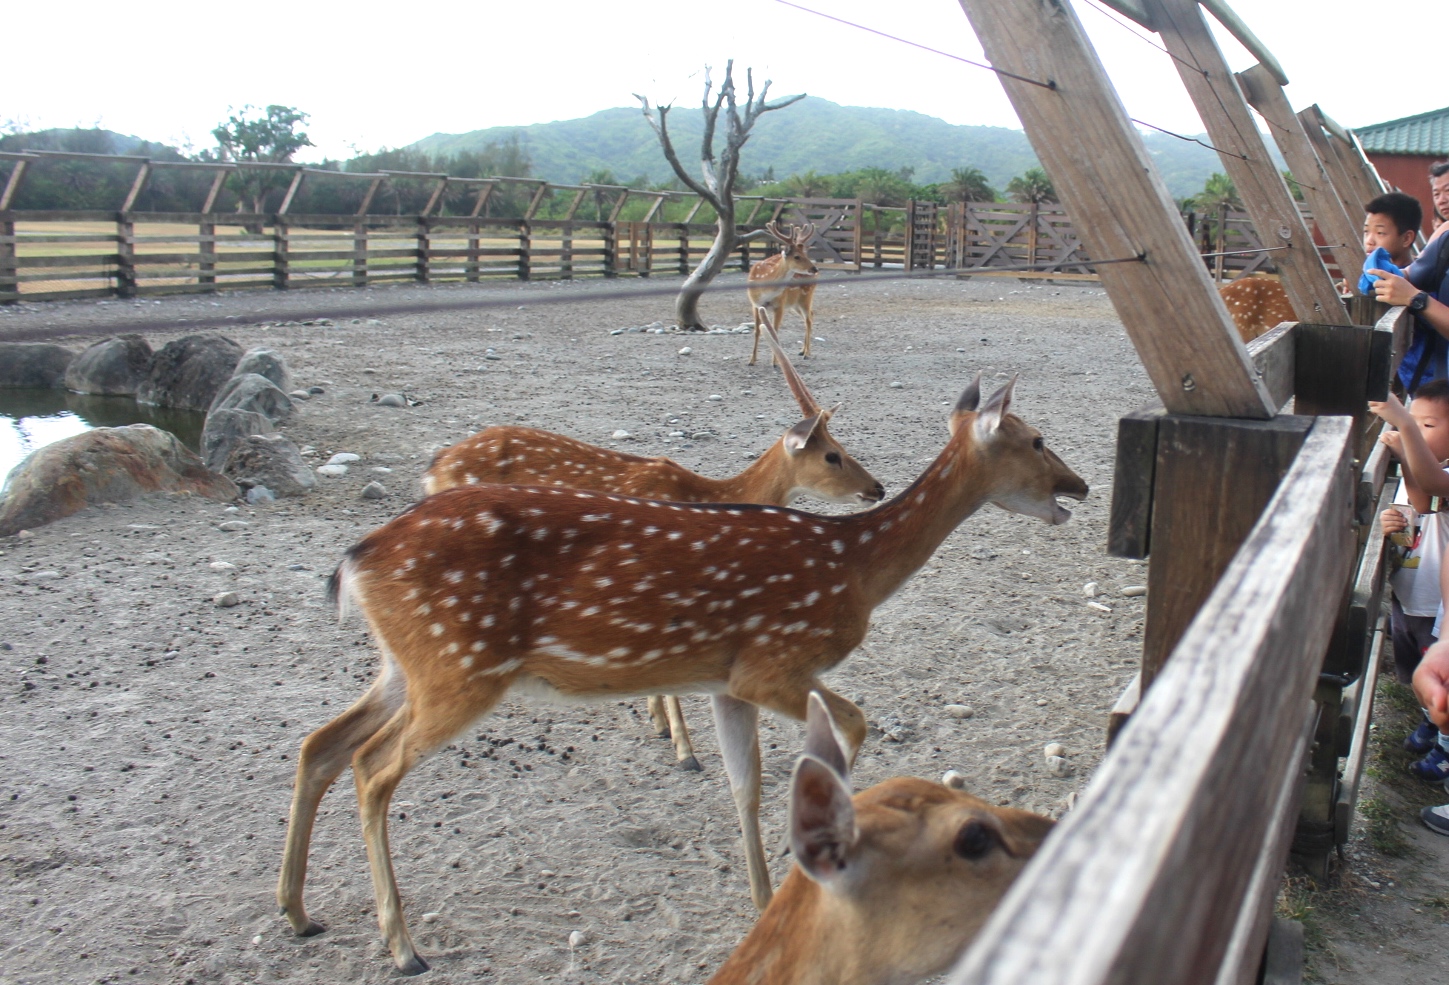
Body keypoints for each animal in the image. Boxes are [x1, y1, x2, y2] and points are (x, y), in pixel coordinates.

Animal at [420, 315, 880, 770]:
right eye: (832, 456)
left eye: (843, 447)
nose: (877, 488)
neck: (706, 495)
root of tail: (434, 468)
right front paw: (685, 750)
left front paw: (658, 722)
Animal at [753, 218, 823, 365]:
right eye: (797, 256)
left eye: (804, 254)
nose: (814, 268)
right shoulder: (755, 304)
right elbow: (757, 330)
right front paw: (752, 360)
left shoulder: (779, 305)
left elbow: (774, 331)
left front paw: (774, 362)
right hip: (795, 304)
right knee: (810, 315)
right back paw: (802, 350)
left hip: (806, 297)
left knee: (809, 318)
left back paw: (806, 353)